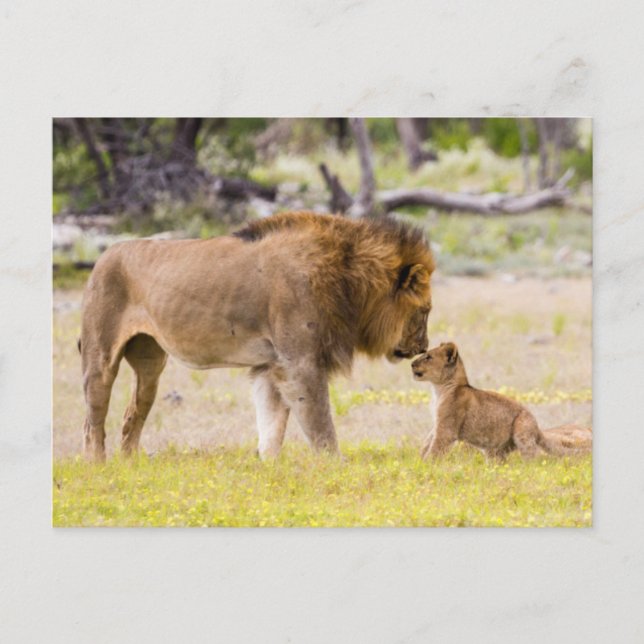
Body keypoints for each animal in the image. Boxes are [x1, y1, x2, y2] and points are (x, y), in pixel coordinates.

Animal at [79, 211, 435, 461]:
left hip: (151, 362)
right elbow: (320, 423)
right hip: (100, 356)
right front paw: (336, 465)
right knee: (92, 421)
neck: (349, 280)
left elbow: (271, 425)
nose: (423, 347)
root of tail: (104, 255)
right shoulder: (300, 363)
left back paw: (130, 464)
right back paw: (98, 467)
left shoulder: (271, 365)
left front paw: (268, 468)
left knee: (133, 412)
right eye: (426, 310)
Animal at [411, 342, 589, 459]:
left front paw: (426, 466)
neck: (439, 389)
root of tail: (538, 429)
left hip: (522, 429)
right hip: (495, 450)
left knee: (533, 457)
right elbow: (427, 441)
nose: (412, 364)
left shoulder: (447, 429)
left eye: (428, 357)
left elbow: (435, 448)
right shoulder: (438, 422)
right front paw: (419, 459)